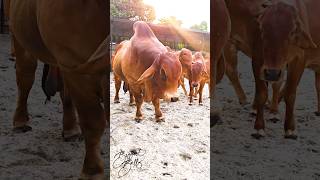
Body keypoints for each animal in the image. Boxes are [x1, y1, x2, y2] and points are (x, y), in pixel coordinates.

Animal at [9, 0, 107, 179]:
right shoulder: (74, 66)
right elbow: (93, 121)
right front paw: (92, 171)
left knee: (65, 95)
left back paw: (70, 129)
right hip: (19, 37)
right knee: (25, 78)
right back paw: (20, 121)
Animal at [258, 0, 320, 139]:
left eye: (292, 32)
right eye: (263, 29)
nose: (272, 73)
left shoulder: (299, 60)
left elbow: (290, 93)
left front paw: (290, 128)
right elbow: (274, 86)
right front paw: (272, 112)